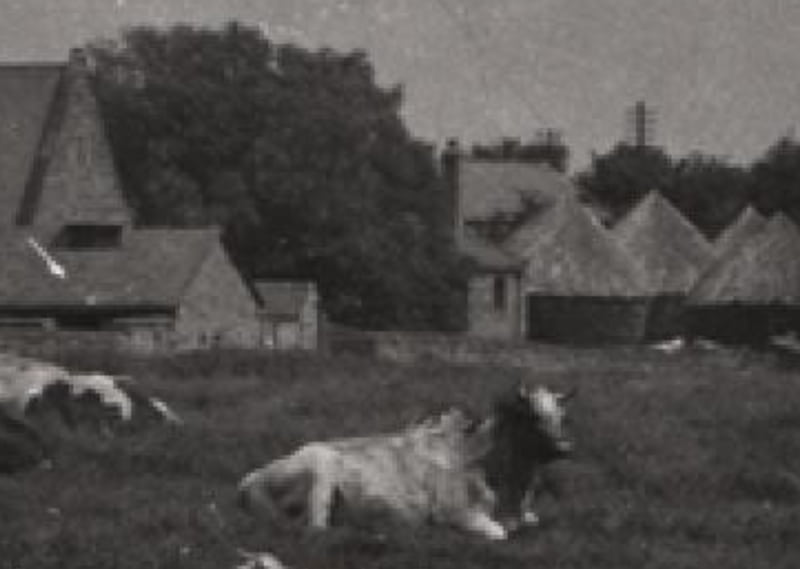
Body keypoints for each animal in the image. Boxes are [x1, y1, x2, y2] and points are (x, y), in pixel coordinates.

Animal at [238, 382, 576, 536]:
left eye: (561, 417)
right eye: (532, 417)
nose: (565, 449)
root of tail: (250, 479)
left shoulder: (527, 514)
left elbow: (532, 521)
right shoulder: (456, 513)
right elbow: (500, 533)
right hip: (320, 465)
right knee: (316, 529)